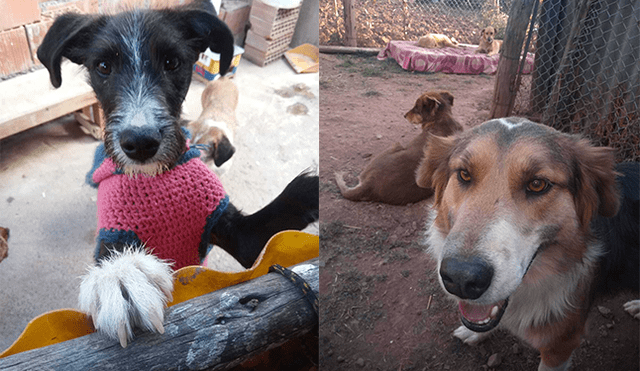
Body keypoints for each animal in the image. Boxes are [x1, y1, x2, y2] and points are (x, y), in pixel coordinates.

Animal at [37, 0, 318, 348]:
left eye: (172, 62)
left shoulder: (243, 237)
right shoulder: (116, 229)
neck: (158, 176)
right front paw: (120, 274)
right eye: (103, 66)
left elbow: (283, 207)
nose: (140, 143)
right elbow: (111, 258)